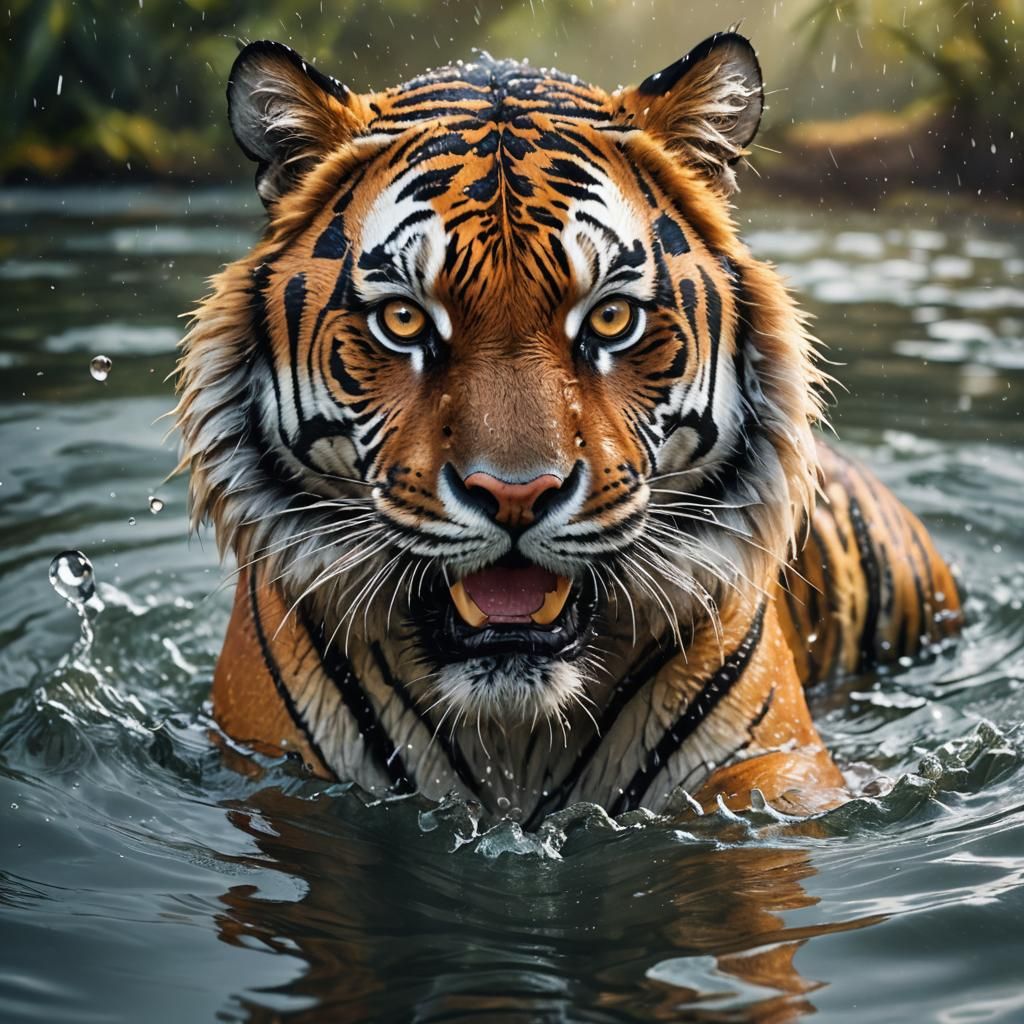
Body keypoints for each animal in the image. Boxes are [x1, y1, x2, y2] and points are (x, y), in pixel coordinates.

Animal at [174, 31, 961, 823]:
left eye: (610, 318)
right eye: (402, 319)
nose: (515, 495)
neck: (513, 733)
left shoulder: (779, 762)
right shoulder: (272, 767)